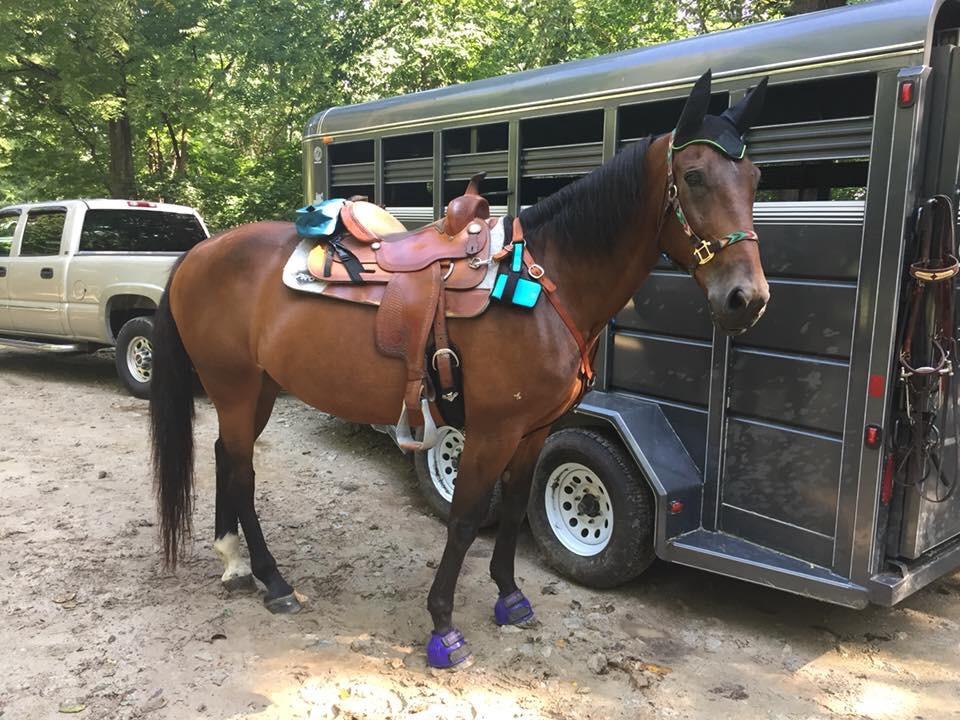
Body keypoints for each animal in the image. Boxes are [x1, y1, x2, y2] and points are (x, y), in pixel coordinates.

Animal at [150, 69, 770, 669]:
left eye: (756, 178)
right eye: (694, 176)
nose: (747, 298)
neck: (548, 285)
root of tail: (198, 254)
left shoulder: (535, 430)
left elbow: (515, 508)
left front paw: (510, 597)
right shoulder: (491, 430)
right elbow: (466, 518)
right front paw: (444, 628)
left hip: (259, 388)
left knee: (224, 457)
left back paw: (234, 561)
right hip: (234, 387)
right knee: (242, 471)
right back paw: (274, 581)